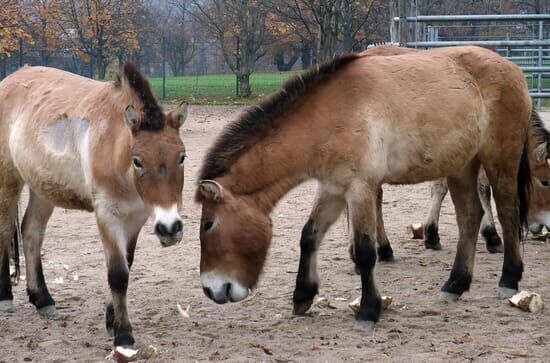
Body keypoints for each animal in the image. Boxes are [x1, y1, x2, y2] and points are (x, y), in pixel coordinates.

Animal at [0, 63, 188, 346]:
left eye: (182, 157)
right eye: (137, 161)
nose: (170, 229)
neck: (115, 149)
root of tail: (9, 80)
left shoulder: (137, 216)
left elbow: (127, 264)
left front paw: (112, 320)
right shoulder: (107, 215)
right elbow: (118, 273)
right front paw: (123, 333)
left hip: (43, 188)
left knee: (31, 232)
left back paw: (42, 299)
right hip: (8, 181)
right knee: (3, 230)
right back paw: (5, 297)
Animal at [197, 47, 536, 332]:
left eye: (209, 224)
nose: (211, 290)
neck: (327, 117)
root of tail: (513, 69)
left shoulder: (359, 190)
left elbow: (364, 251)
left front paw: (368, 310)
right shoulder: (333, 190)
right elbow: (309, 236)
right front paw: (303, 296)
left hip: (499, 159)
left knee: (508, 212)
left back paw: (509, 279)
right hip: (462, 165)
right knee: (469, 217)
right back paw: (455, 284)